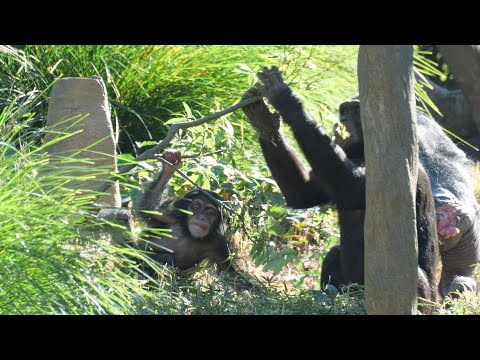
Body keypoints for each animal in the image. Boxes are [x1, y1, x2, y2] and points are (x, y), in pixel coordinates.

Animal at [133, 150, 249, 288]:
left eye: (209, 212)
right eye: (195, 208)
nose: (201, 217)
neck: (190, 235)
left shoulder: (219, 245)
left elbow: (232, 275)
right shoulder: (171, 217)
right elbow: (149, 208)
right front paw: (169, 166)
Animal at [244, 66, 442, 306]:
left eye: (356, 111)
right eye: (344, 109)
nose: (343, 119)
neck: (361, 152)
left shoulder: (392, 162)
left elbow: (352, 186)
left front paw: (287, 99)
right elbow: (302, 193)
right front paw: (263, 121)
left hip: (426, 301)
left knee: (409, 276)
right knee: (333, 254)